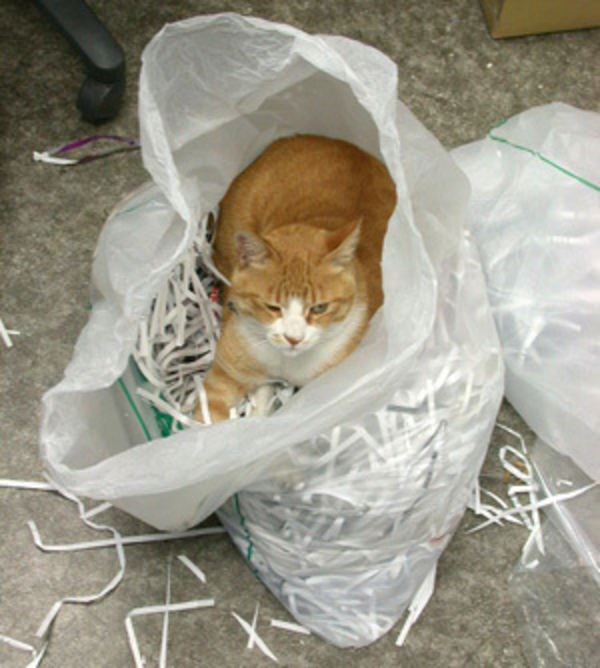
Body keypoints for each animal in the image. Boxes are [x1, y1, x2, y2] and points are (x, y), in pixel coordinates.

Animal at [195, 135, 396, 423]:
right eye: (272, 307)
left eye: (320, 308)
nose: (293, 339)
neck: (286, 363)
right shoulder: (225, 376)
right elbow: (204, 419)